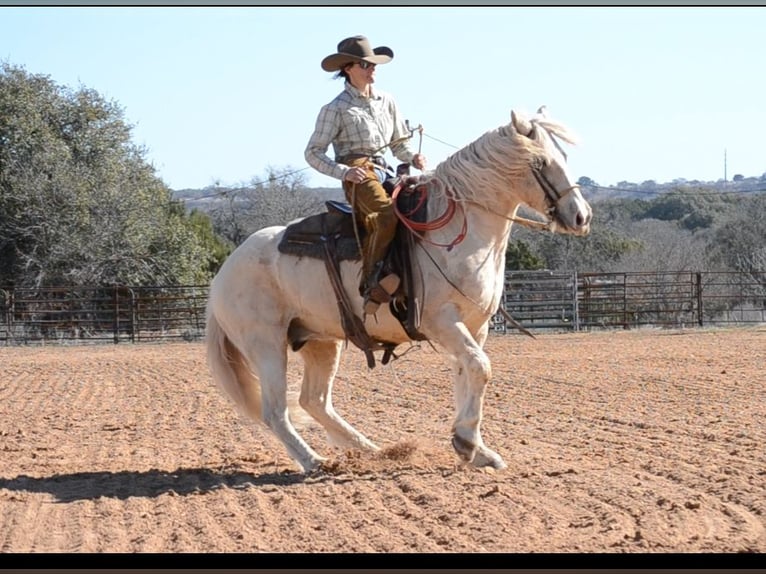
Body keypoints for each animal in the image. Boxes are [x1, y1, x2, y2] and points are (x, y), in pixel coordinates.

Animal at [204, 106, 592, 474]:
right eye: (540, 162)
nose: (581, 216)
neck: (456, 231)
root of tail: (223, 275)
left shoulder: (475, 325)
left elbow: (467, 373)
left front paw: (474, 447)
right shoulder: (442, 321)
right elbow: (481, 368)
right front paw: (467, 443)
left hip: (319, 341)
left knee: (314, 401)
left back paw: (372, 450)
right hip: (266, 345)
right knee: (275, 411)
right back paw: (314, 461)